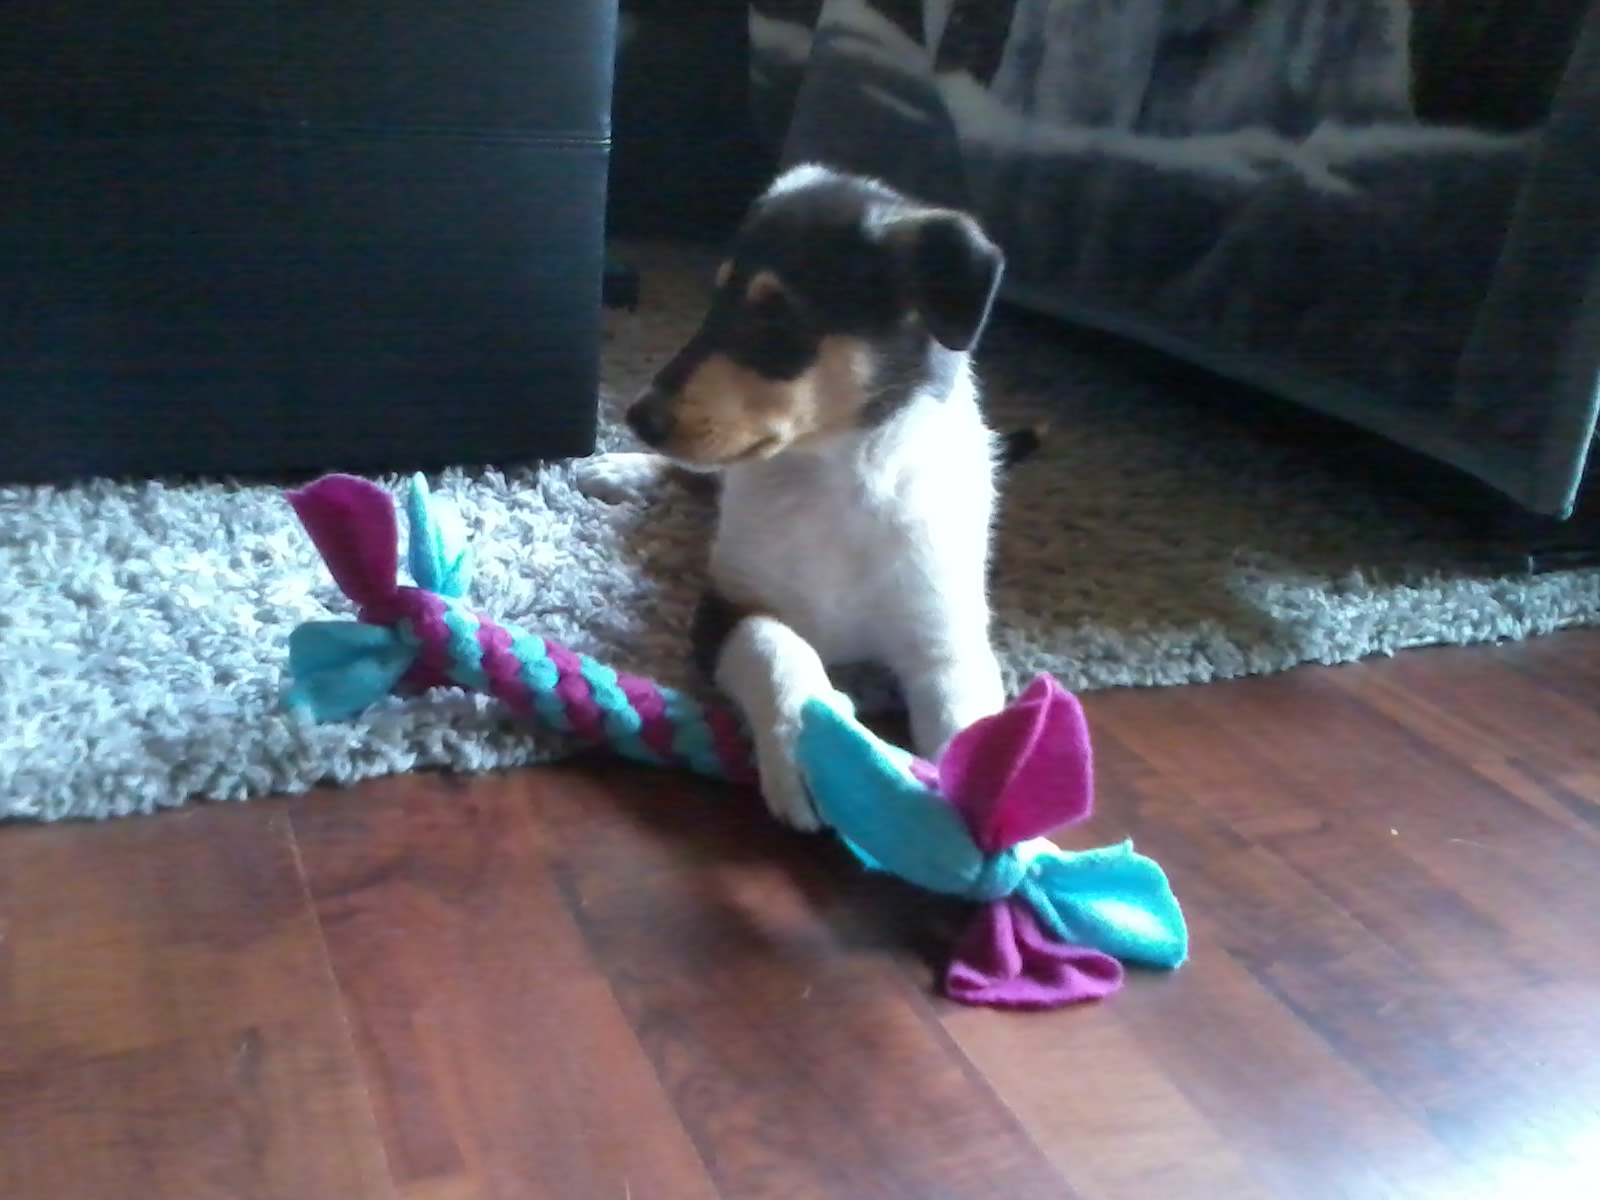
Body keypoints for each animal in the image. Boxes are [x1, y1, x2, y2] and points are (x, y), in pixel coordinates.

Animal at [583, 163, 1016, 830]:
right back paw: (619, 472)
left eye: (778, 316)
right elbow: (775, 645)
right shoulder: (725, 607)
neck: (837, 475)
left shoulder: (946, 638)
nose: (638, 417)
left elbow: (968, 721)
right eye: (716, 301)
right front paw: (807, 751)